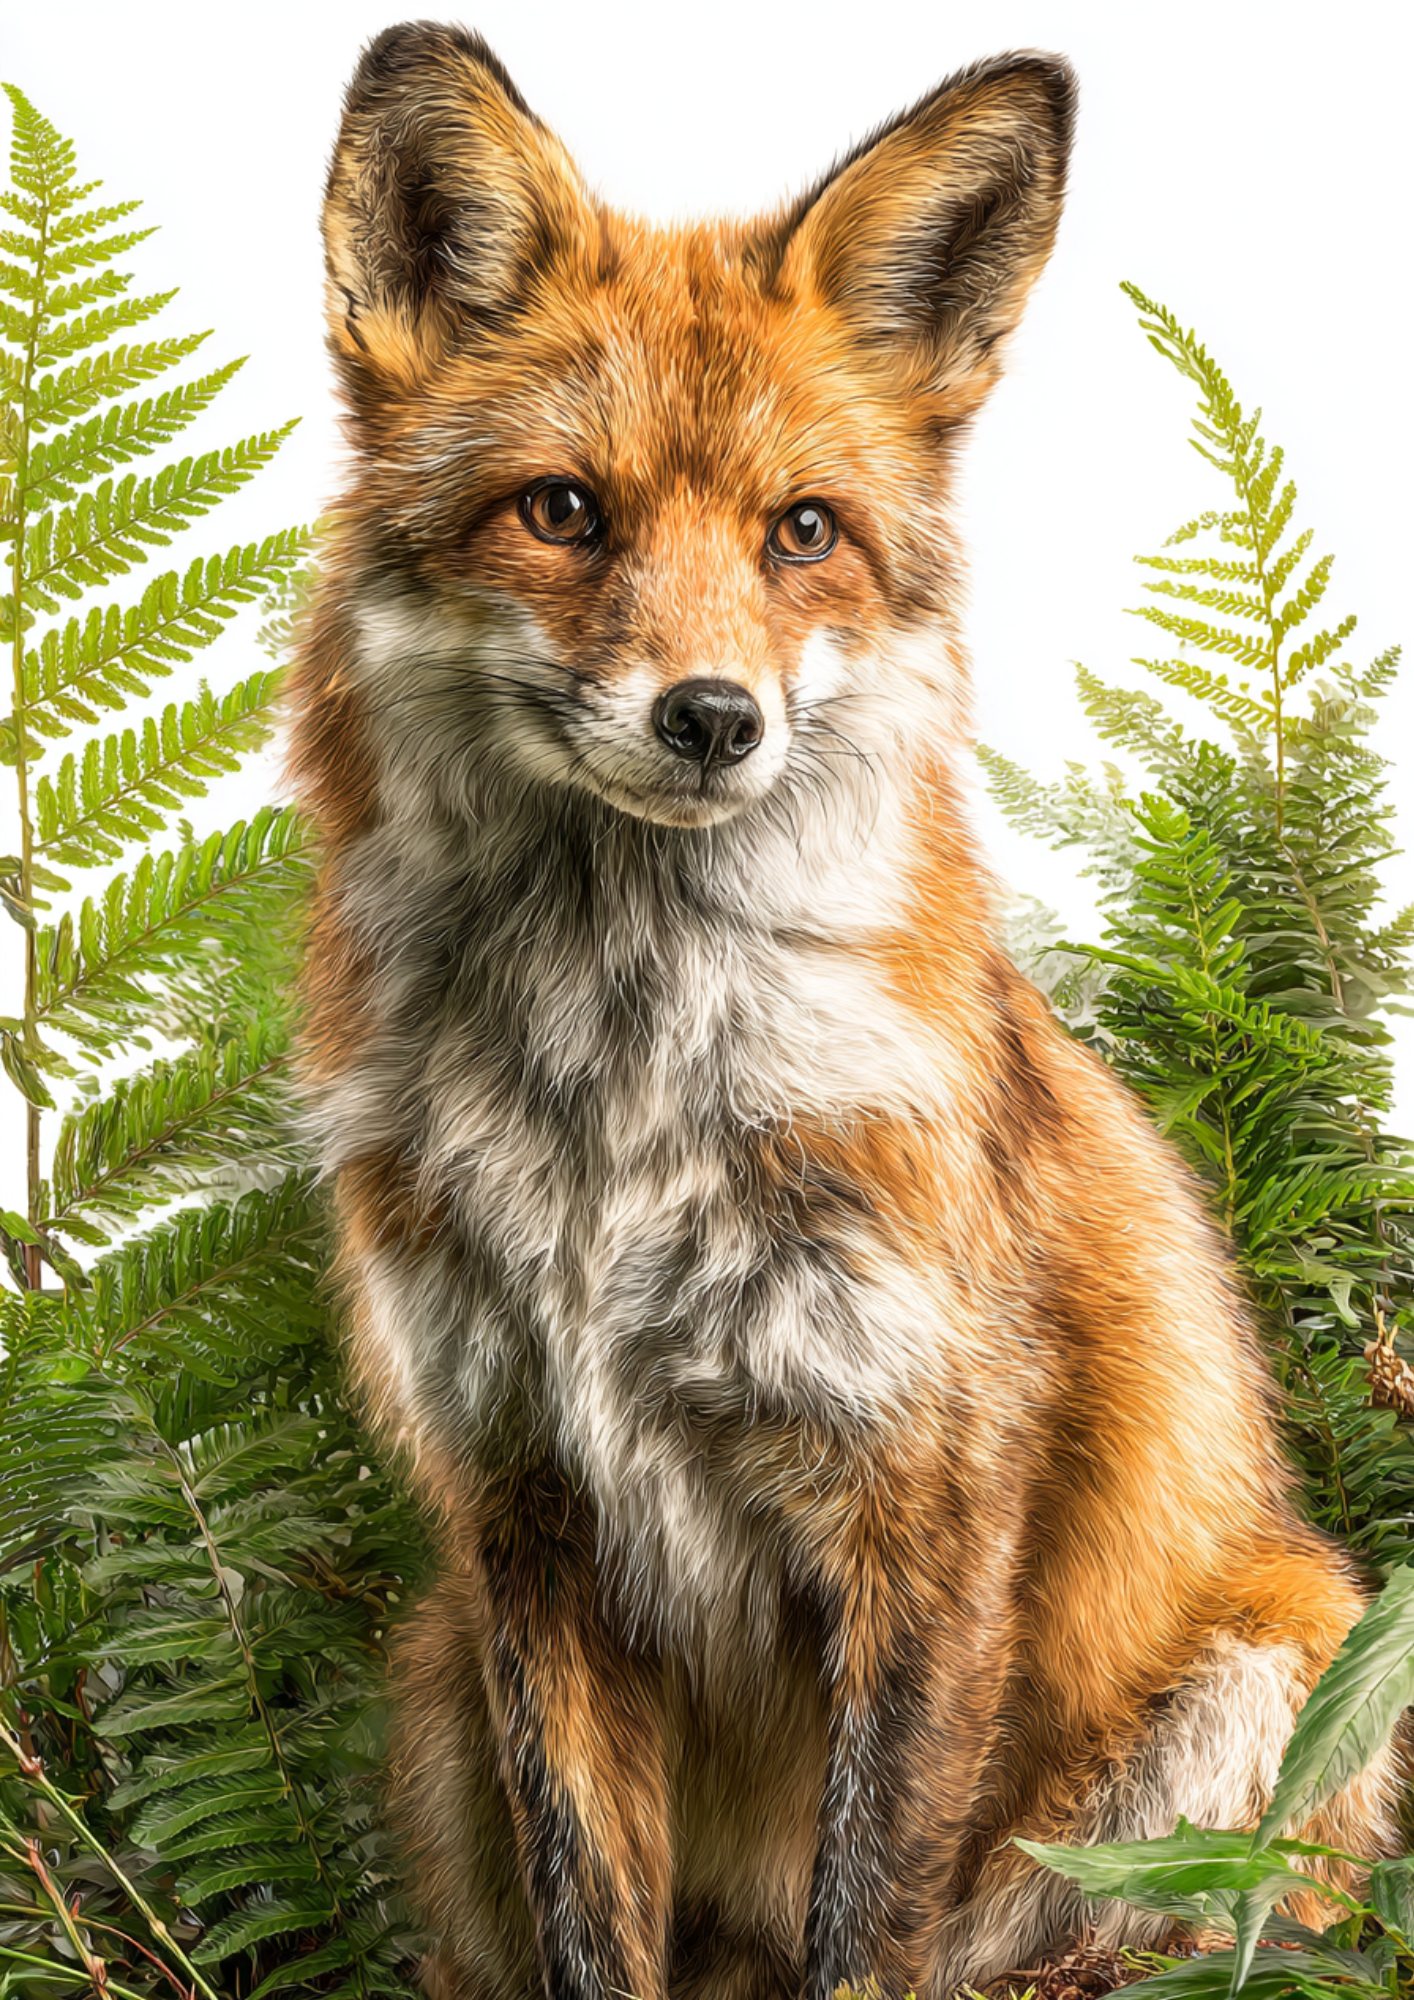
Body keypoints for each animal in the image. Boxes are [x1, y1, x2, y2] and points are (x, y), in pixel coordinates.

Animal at [289, 21, 1398, 2000]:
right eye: (562, 512)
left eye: (800, 533)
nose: (711, 718)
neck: (616, 1110)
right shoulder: (525, 1518)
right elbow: (591, 1931)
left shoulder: (925, 1508)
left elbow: (870, 1923)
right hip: (433, 1691)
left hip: (1269, 1667)